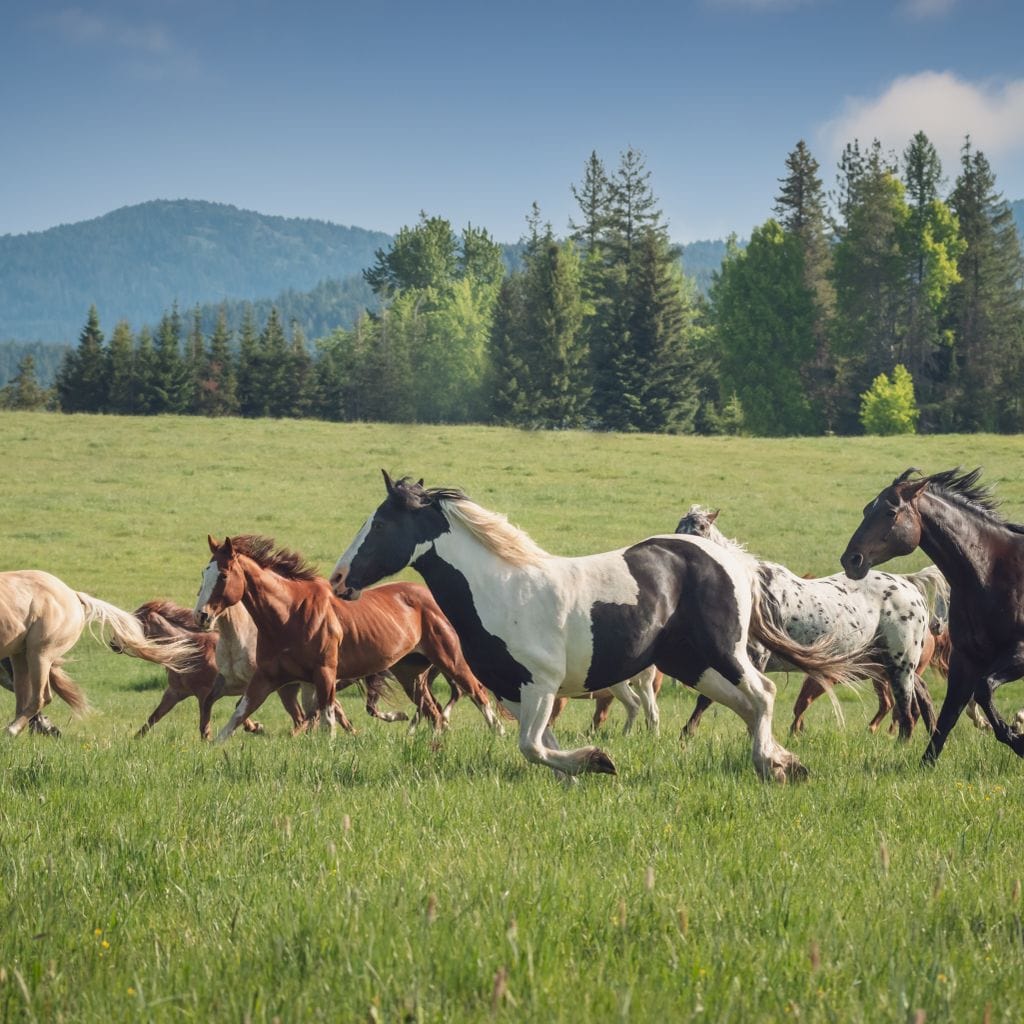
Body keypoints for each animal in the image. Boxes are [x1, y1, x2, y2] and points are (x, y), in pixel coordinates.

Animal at [0, 570, 197, 737]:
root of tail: (73, 594)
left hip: (39, 653)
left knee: (40, 697)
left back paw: (11, 730)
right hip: (20, 655)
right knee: (23, 697)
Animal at [194, 534, 503, 742]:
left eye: (223, 575)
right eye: (203, 573)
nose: (201, 616)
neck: (289, 614)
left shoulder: (325, 673)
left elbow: (328, 719)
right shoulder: (267, 677)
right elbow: (238, 715)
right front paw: (213, 746)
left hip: (450, 660)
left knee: (476, 693)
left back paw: (498, 734)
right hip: (410, 673)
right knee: (433, 712)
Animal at [329, 472, 873, 784]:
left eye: (381, 524)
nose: (337, 579)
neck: (500, 590)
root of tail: (732, 560)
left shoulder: (541, 685)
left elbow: (531, 747)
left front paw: (599, 761)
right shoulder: (512, 691)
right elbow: (542, 747)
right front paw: (580, 770)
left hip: (723, 651)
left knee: (762, 695)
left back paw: (773, 765)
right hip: (689, 663)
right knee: (745, 705)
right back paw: (783, 760)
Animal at [674, 505, 946, 741]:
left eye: (701, 527)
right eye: (679, 527)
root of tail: (909, 584)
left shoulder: (753, 658)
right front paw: (687, 734)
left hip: (900, 664)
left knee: (907, 710)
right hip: (889, 665)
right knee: (919, 700)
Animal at [841, 467, 1024, 765]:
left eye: (890, 512)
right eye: (868, 508)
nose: (851, 560)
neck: (988, 572)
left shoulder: (1017, 653)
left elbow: (983, 691)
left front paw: (1018, 741)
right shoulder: (965, 659)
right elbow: (948, 715)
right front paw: (926, 762)